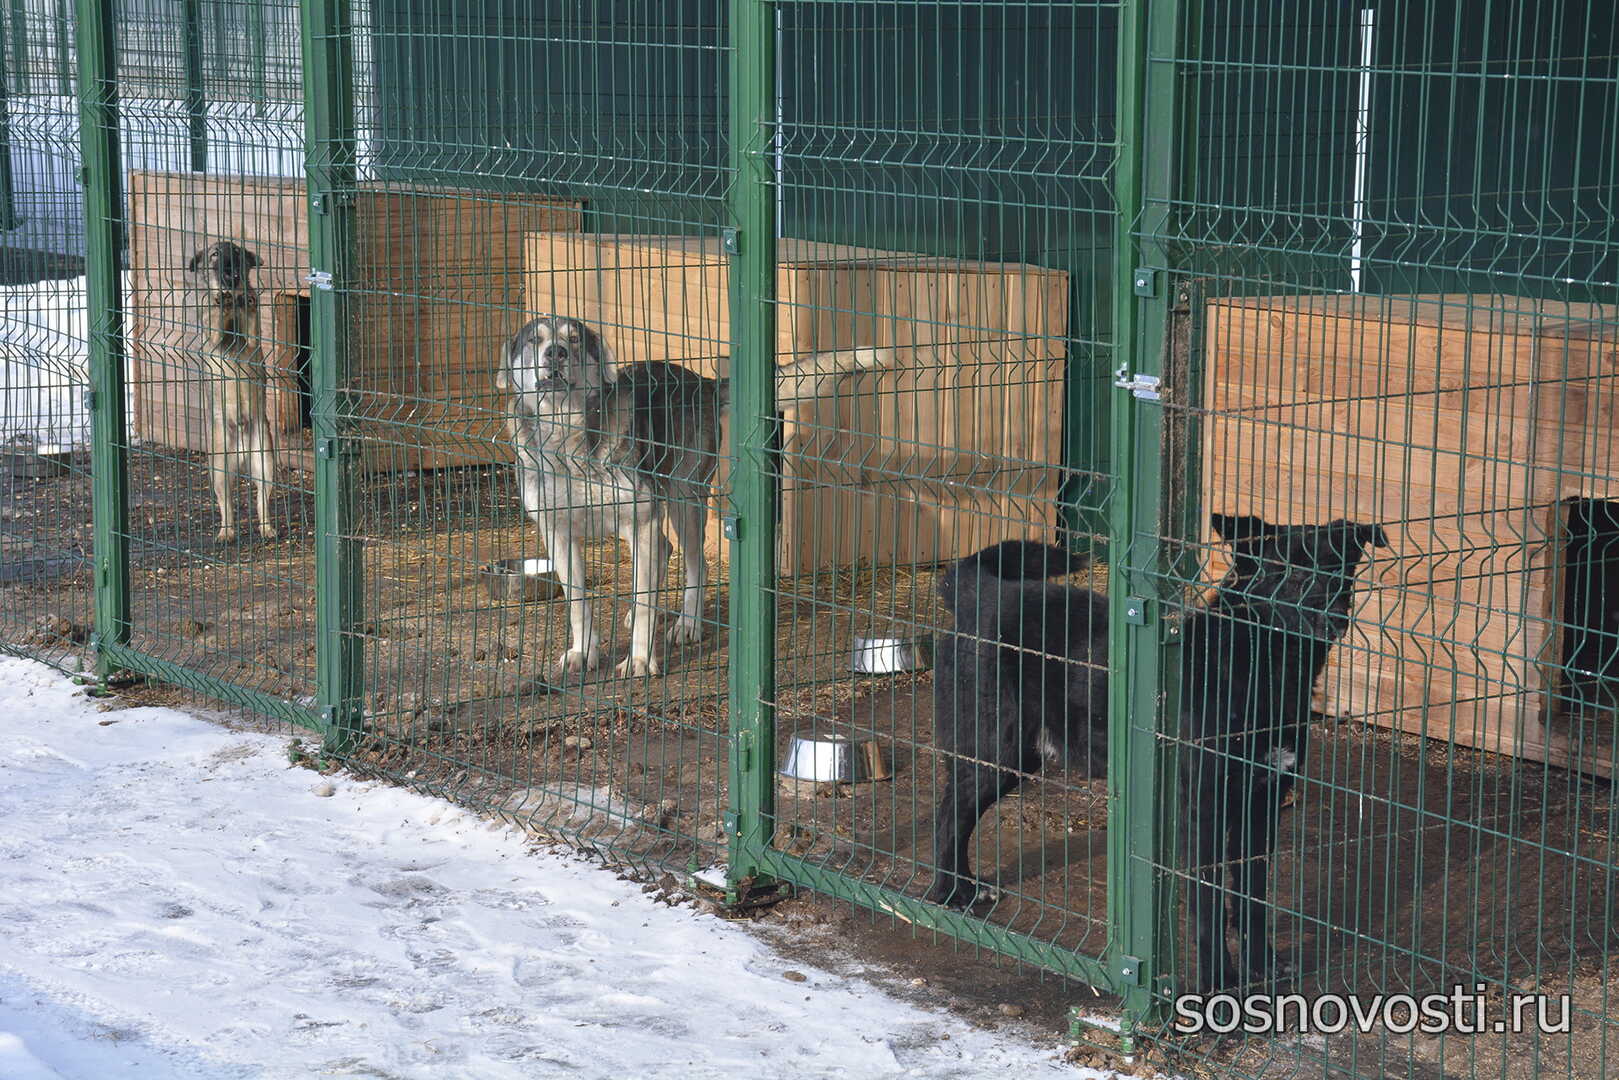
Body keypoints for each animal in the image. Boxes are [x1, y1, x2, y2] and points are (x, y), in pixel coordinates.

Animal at [498, 312, 893, 680]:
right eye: (534, 340)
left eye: (575, 339)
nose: (556, 353)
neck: (566, 436)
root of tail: (700, 382)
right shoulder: (558, 533)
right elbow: (579, 602)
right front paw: (583, 653)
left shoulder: (641, 519)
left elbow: (646, 600)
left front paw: (640, 660)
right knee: (663, 551)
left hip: (683, 501)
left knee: (694, 563)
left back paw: (687, 624)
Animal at [932, 518, 1385, 990]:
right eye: (1285, 571)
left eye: (1337, 568)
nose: (1331, 614)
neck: (1257, 668)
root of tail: (983, 594)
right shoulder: (1201, 812)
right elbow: (1208, 901)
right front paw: (1218, 981)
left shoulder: (1262, 808)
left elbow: (1253, 897)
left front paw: (1263, 966)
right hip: (993, 751)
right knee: (948, 814)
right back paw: (952, 893)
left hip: (1017, 759)